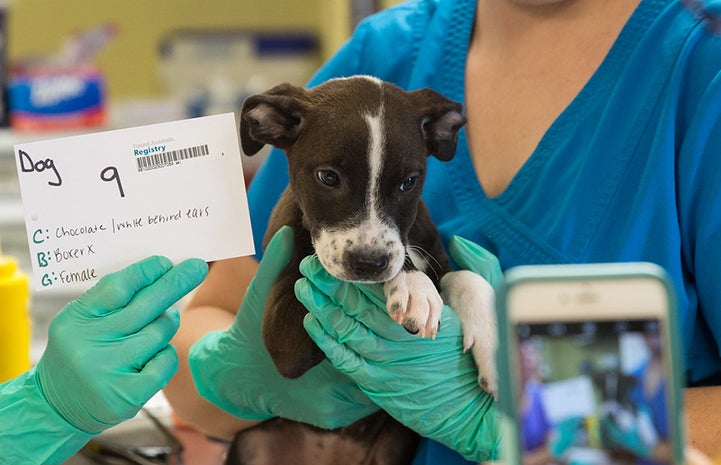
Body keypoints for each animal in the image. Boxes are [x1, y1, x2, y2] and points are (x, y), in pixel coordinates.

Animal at [225, 76, 496, 464]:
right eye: (328, 177)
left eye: (409, 182)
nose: (369, 263)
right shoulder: (284, 333)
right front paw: (412, 285)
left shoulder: (434, 254)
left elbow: (465, 276)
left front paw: (494, 344)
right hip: (251, 444)